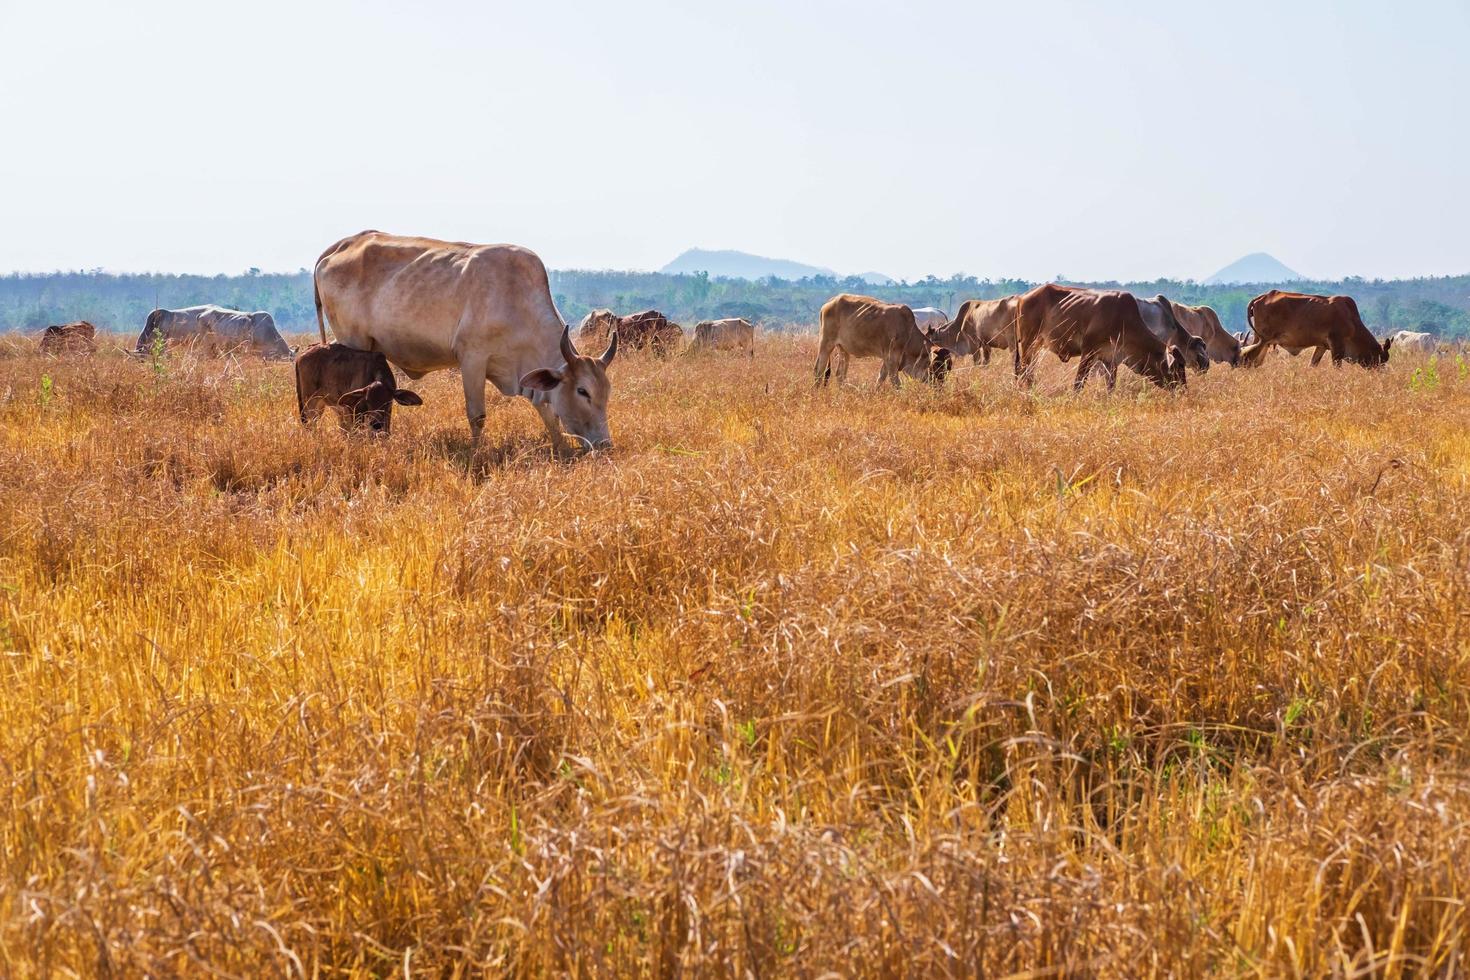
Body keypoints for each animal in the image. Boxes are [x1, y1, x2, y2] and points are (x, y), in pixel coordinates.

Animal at [291, 345, 420, 437]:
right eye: (367, 401)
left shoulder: (386, 415)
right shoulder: (356, 410)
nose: (376, 424)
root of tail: (302, 355)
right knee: (310, 424)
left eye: (388, 402)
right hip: (309, 402)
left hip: (321, 404)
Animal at [313, 230, 617, 455]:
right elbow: (477, 415)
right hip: (353, 341)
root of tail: (344, 244)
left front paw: (560, 447)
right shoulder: (472, 358)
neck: (516, 302)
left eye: (607, 391)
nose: (605, 445)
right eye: (582, 391)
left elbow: (548, 412)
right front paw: (476, 452)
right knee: (345, 404)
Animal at [1017, 283, 1187, 390]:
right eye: (1178, 366)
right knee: (1024, 371)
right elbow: (1078, 383)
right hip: (1028, 344)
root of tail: (1023, 297)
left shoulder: (1111, 360)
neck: (1123, 320)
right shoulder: (1088, 352)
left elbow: (1110, 387)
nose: (1183, 390)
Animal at [1240, 290, 1387, 371]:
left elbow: (1312, 364)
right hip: (1262, 341)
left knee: (1254, 361)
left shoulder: (1322, 346)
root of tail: (1262, 297)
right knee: (1248, 359)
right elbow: (1337, 367)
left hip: (1263, 342)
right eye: (1381, 358)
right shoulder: (1336, 344)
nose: (1380, 372)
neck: (1352, 319)